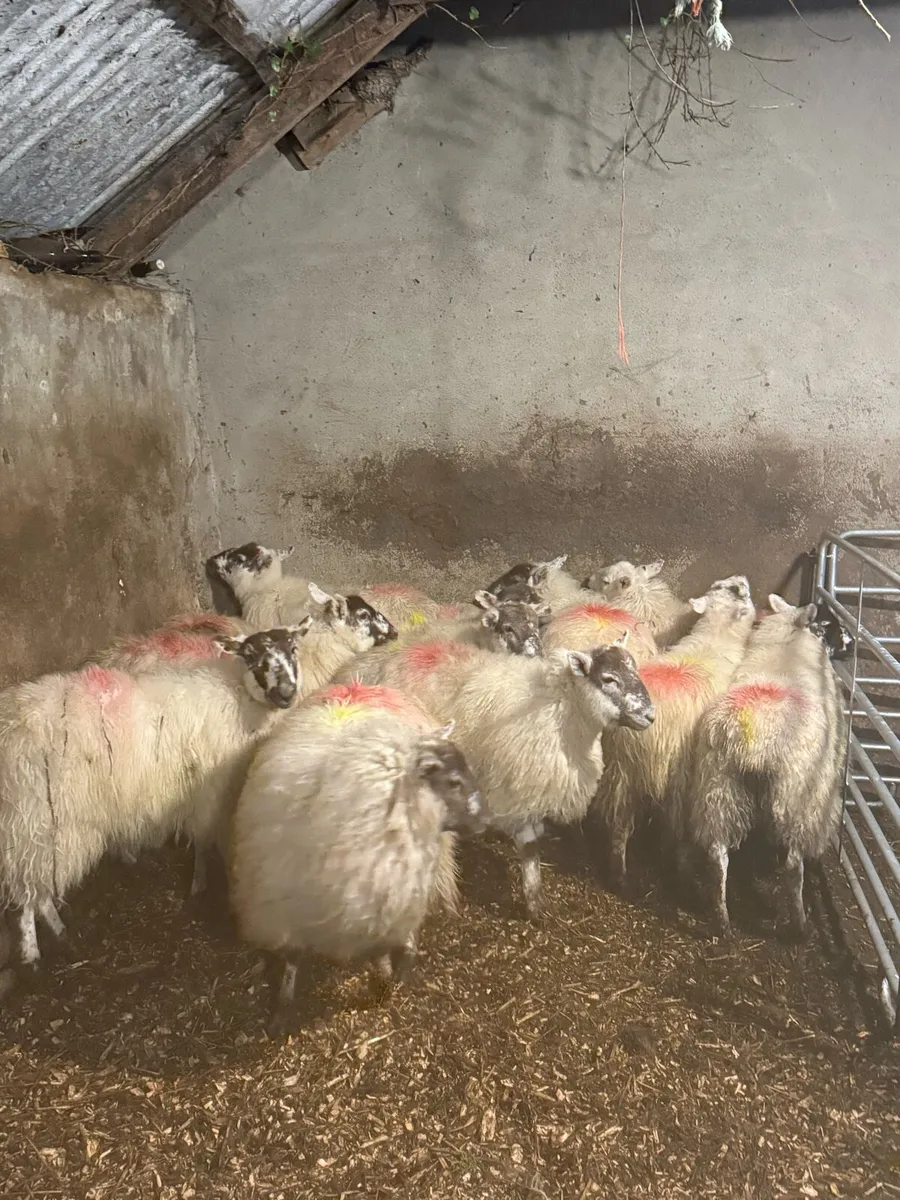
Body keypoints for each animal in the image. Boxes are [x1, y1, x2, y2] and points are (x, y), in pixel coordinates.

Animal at [0, 625, 309, 966]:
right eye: (251, 655)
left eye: (293, 648)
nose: (285, 694)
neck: (236, 695)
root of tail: (11, 725)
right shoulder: (210, 796)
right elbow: (204, 843)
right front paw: (201, 885)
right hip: (41, 822)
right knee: (30, 892)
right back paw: (35, 949)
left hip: (34, 827)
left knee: (34, 887)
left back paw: (57, 933)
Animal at [228, 683, 488, 1031]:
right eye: (454, 782)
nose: (486, 820)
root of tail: (359, 684)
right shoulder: (283, 912)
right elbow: (292, 961)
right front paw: (282, 1009)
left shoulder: (390, 904)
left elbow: (391, 952)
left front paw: (389, 984)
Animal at [339, 636, 655, 914]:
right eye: (609, 679)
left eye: (635, 670)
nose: (650, 715)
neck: (560, 710)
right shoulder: (519, 790)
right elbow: (530, 849)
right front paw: (535, 907)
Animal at [593, 575, 756, 890]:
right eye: (735, 590)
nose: (742, 578)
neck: (717, 637)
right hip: (674, 771)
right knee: (675, 824)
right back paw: (681, 868)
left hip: (619, 771)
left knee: (619, 824)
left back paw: (618, 874)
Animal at [674, 593, 845, 939]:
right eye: (830, 624)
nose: (849, 641)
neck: (789, 645)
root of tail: (752, 738)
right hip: (795, 798)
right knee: (793, 865)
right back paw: (799, 924)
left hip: (718, 788)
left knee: (717, 854)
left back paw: (721, 918)